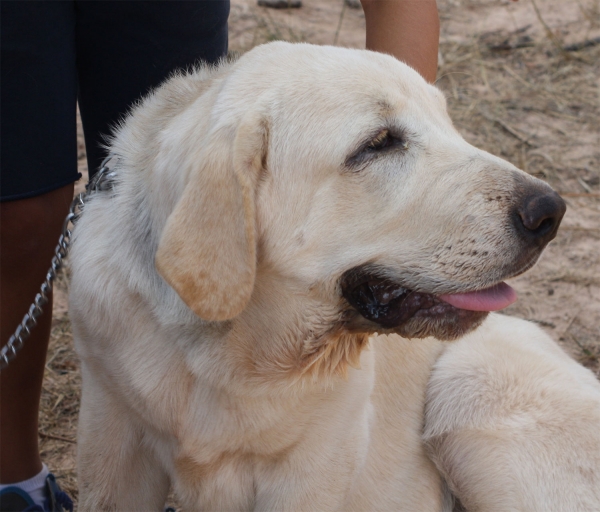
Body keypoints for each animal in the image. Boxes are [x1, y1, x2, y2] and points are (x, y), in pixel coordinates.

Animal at [71, 42, 600, 510]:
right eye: (378, 144)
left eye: (447, 123)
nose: (550, 212)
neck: (233, 352)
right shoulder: (113, 432)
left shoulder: (313, 469)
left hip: (466, 388)